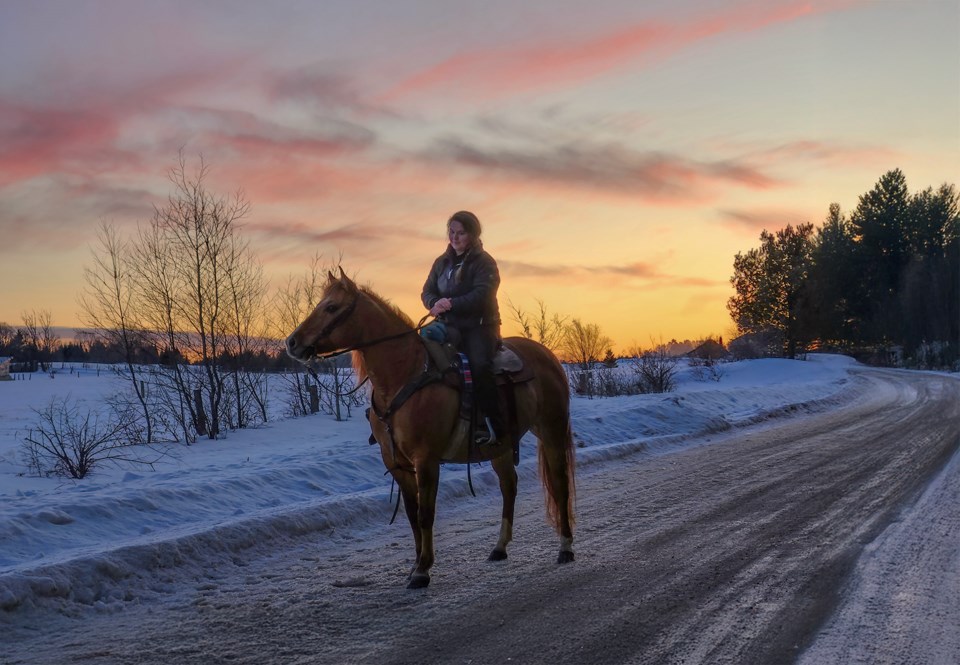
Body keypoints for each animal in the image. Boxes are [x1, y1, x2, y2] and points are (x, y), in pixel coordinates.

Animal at [286, 268, 576, 588]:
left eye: (331, 307)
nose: (292, 343)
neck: (404, 375)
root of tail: (549, 357)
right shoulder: (397, 464)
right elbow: (413, 515)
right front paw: (415, 564)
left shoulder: (426, 460)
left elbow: (426, 514)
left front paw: (423, 570)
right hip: (500, 445)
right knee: (509, 486)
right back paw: (500, 547)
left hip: (551, 428)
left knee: (559, 483)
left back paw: (565, 547)